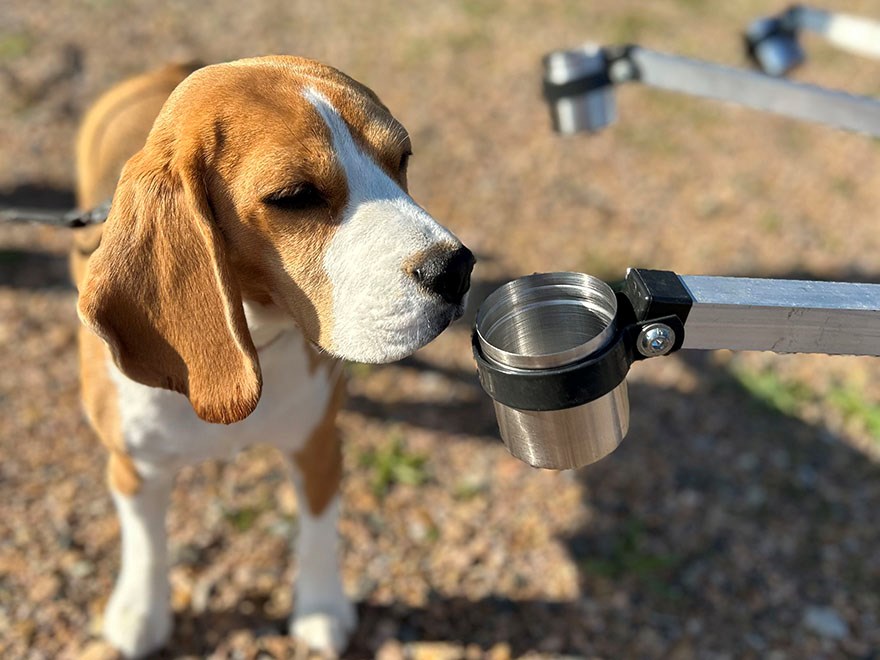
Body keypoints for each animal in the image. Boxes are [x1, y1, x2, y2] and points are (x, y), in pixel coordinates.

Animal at [74, 59, 474, 656]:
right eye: (295, 196)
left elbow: (318, 532)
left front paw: (320, 607)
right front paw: (141, 612)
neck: (255, 339)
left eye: (402, 158)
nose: (456, 269)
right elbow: (146, 541)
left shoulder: (318, 445)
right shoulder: (133, 465)